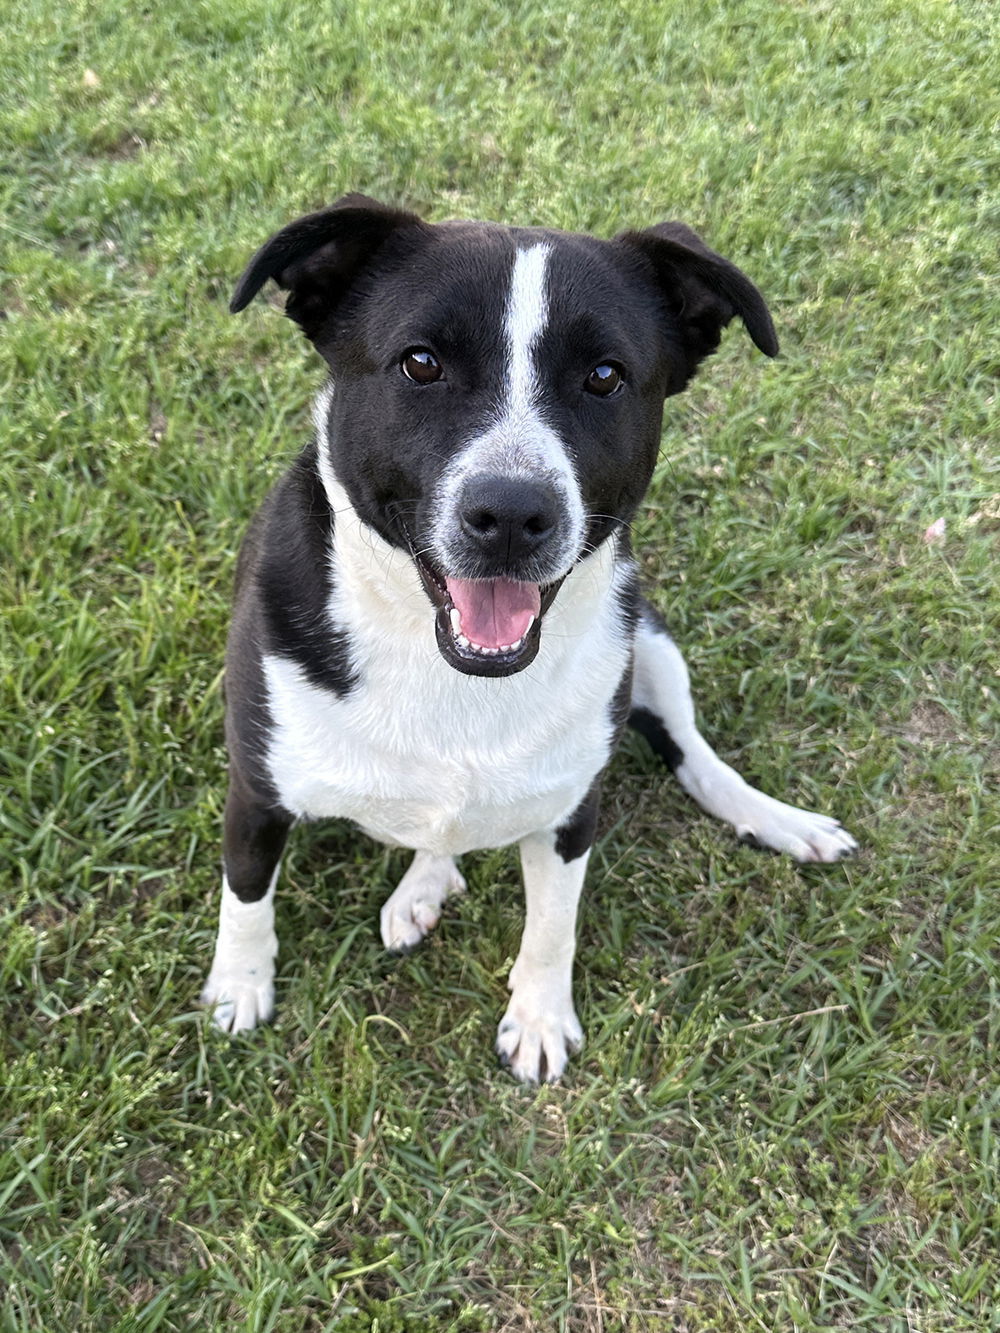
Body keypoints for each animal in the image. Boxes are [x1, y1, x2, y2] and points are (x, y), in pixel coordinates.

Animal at [204, 193, 864, 1077]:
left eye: (605, 377)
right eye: (420, 364)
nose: (513, 514)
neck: (449, 668)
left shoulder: (572, 810)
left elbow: (554, 923)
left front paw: (541, 1017)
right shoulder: (256, 788)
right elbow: (245, 897)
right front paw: (238, 987)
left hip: (652, 643)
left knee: (693, 752)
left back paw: (777, 819)